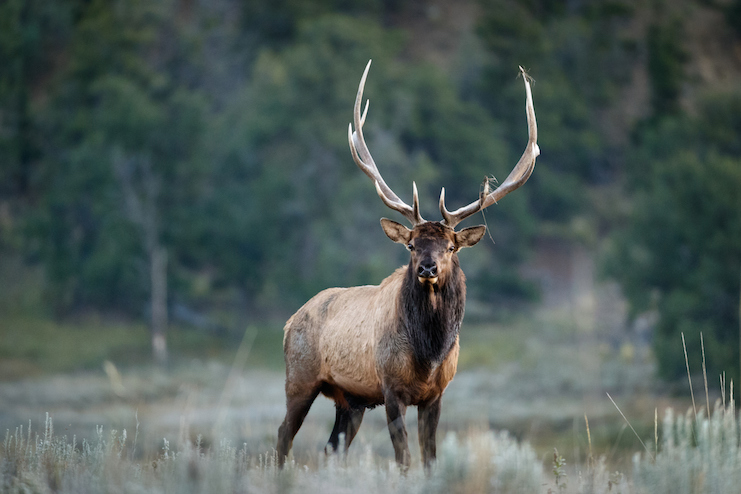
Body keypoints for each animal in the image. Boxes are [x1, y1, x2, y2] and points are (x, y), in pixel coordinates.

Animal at [278, 59, 536, 468]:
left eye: (451, 247)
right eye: (412, 245)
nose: (427, 269)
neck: (428, 354)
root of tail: (290, 321)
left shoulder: (436, 395)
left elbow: (430, 458)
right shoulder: (391, 389)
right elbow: (404, 459)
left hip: (349, 401)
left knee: (330, 448)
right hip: (299, 379)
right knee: (283, 436)